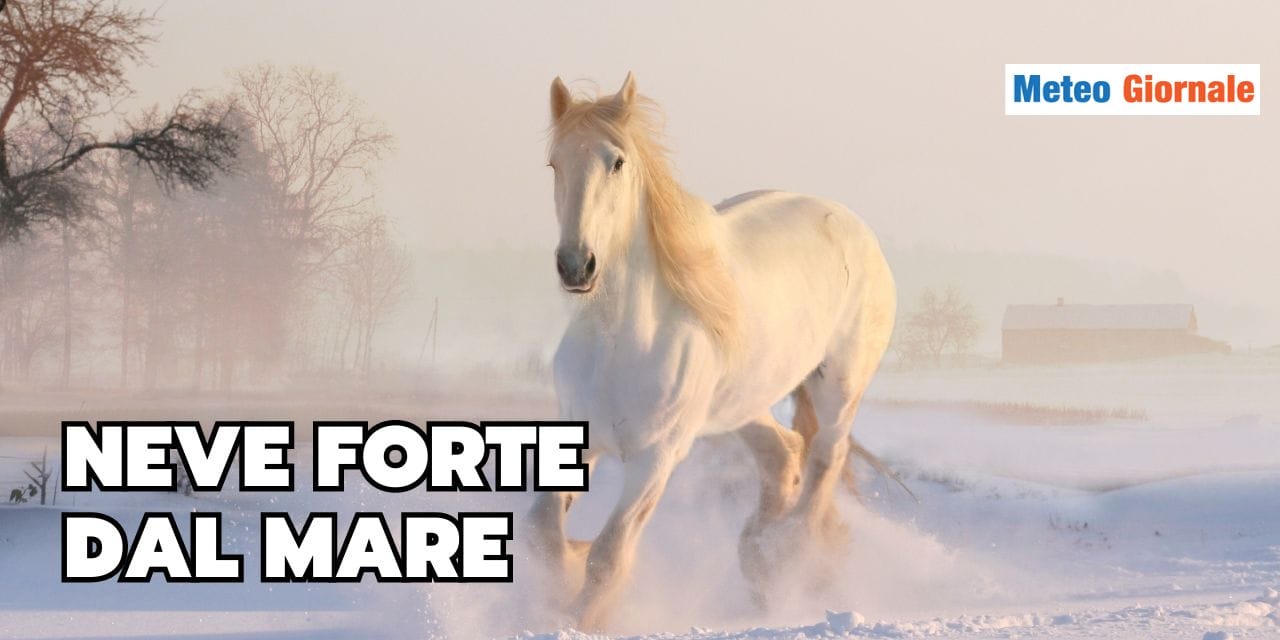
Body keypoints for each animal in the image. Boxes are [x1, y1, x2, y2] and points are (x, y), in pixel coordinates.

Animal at [529, 72, 896, 631]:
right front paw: (562, 579)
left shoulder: (656, 458)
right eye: (555, 163)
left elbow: (608, 556)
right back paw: (760, 560)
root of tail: (852, 225)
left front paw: (582, 616)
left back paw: (786, 556)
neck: (620, 343)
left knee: (824, 459)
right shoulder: (578, 436)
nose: (576, 265)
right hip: (742, 404)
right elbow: (544, 535)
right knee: (784, 454)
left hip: (839, 385)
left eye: (617, 162)